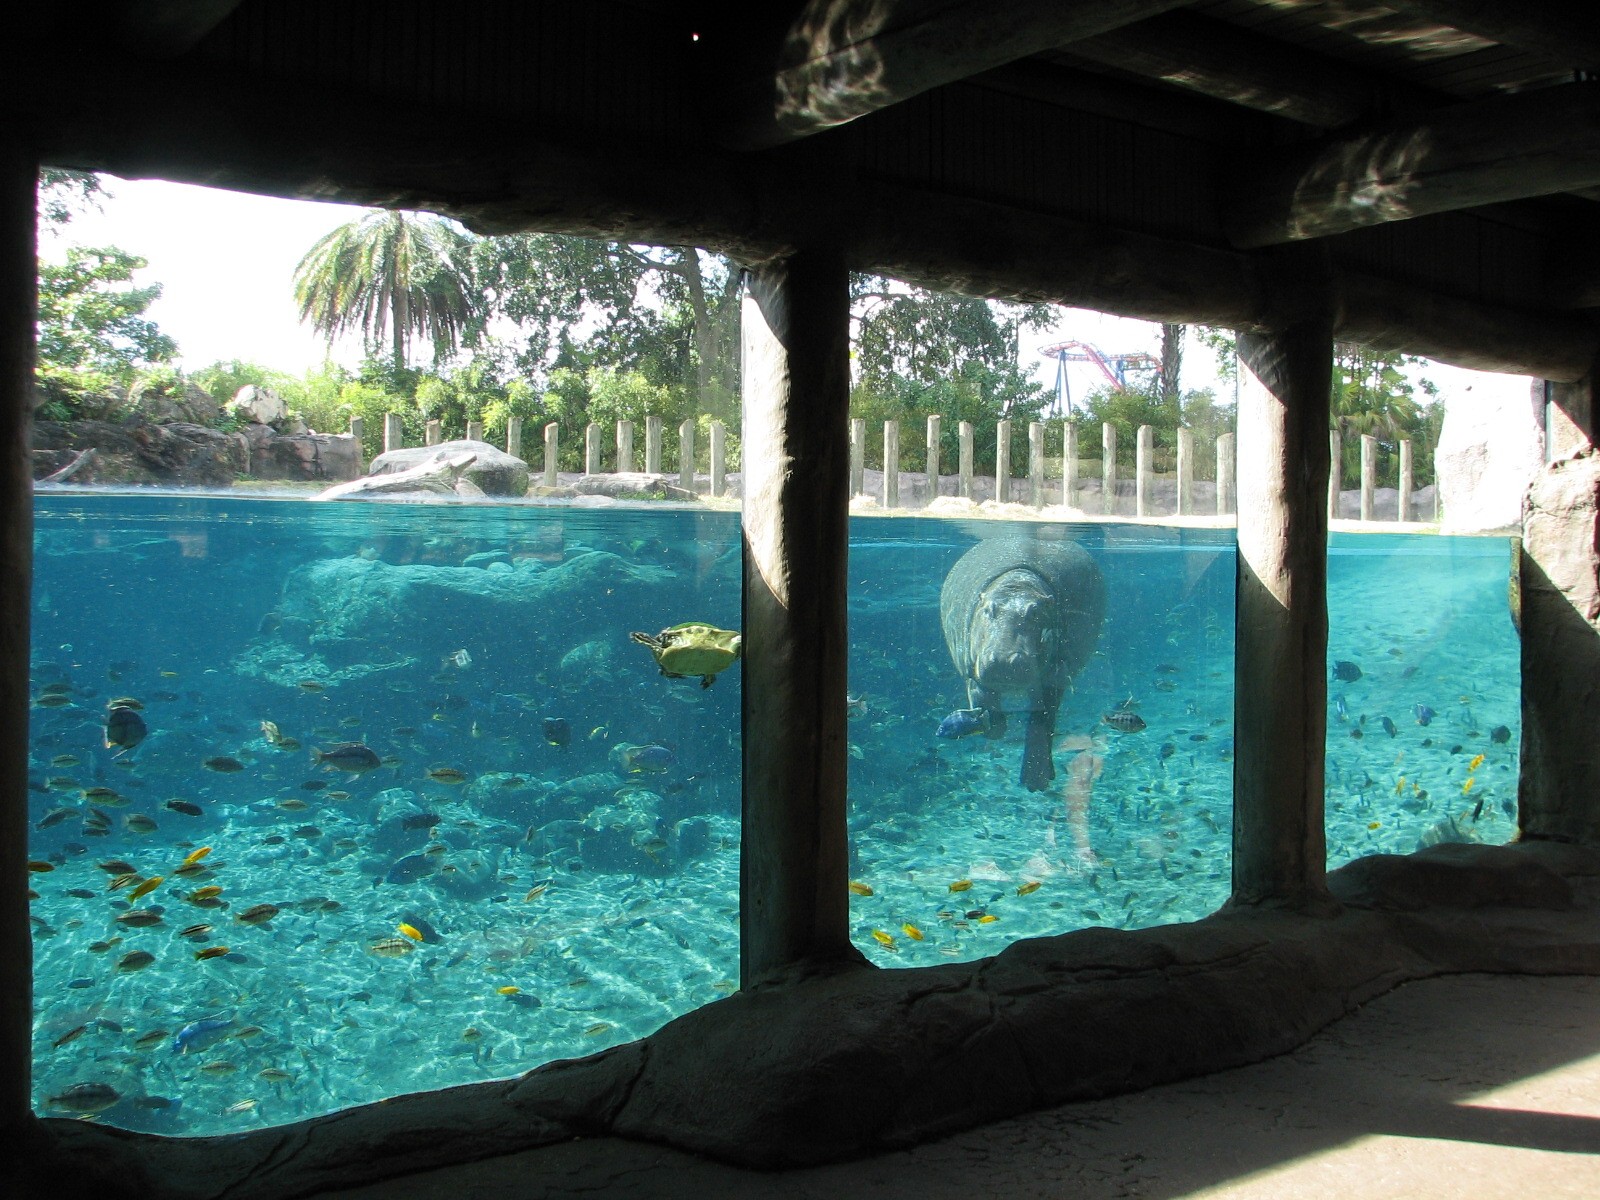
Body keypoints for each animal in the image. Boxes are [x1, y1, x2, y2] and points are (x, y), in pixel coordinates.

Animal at [939, 535, 1107, 791]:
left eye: (1035, 612)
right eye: (988, 609)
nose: (1004, 661)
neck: (1018, 585)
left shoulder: (1054, 676)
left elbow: (1041, 720)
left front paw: (1035, 781)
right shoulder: (973, 674)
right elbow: (990, 714)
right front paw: (981, 722)